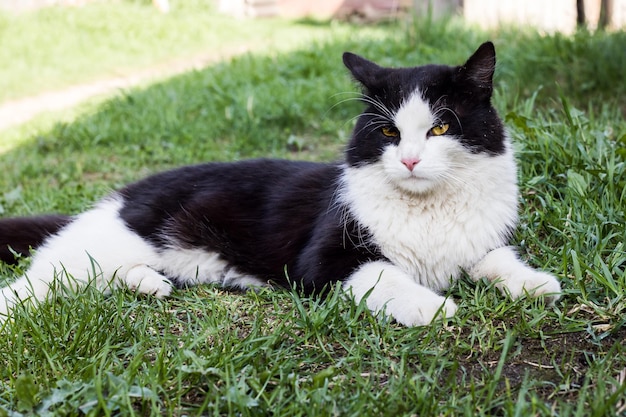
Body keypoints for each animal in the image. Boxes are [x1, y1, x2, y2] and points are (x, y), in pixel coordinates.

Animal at [0, 43, 560, 328]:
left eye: (441, 129)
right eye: (388, 133)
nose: (409, 159)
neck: (428, 212)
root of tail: (124, 195)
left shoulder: (477, 240)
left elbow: (496, 257)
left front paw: (535, 284)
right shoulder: (323, 260)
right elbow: (384, 275)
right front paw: (431, 306)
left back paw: (152, 284)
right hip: (90, 254)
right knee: (33, 283)